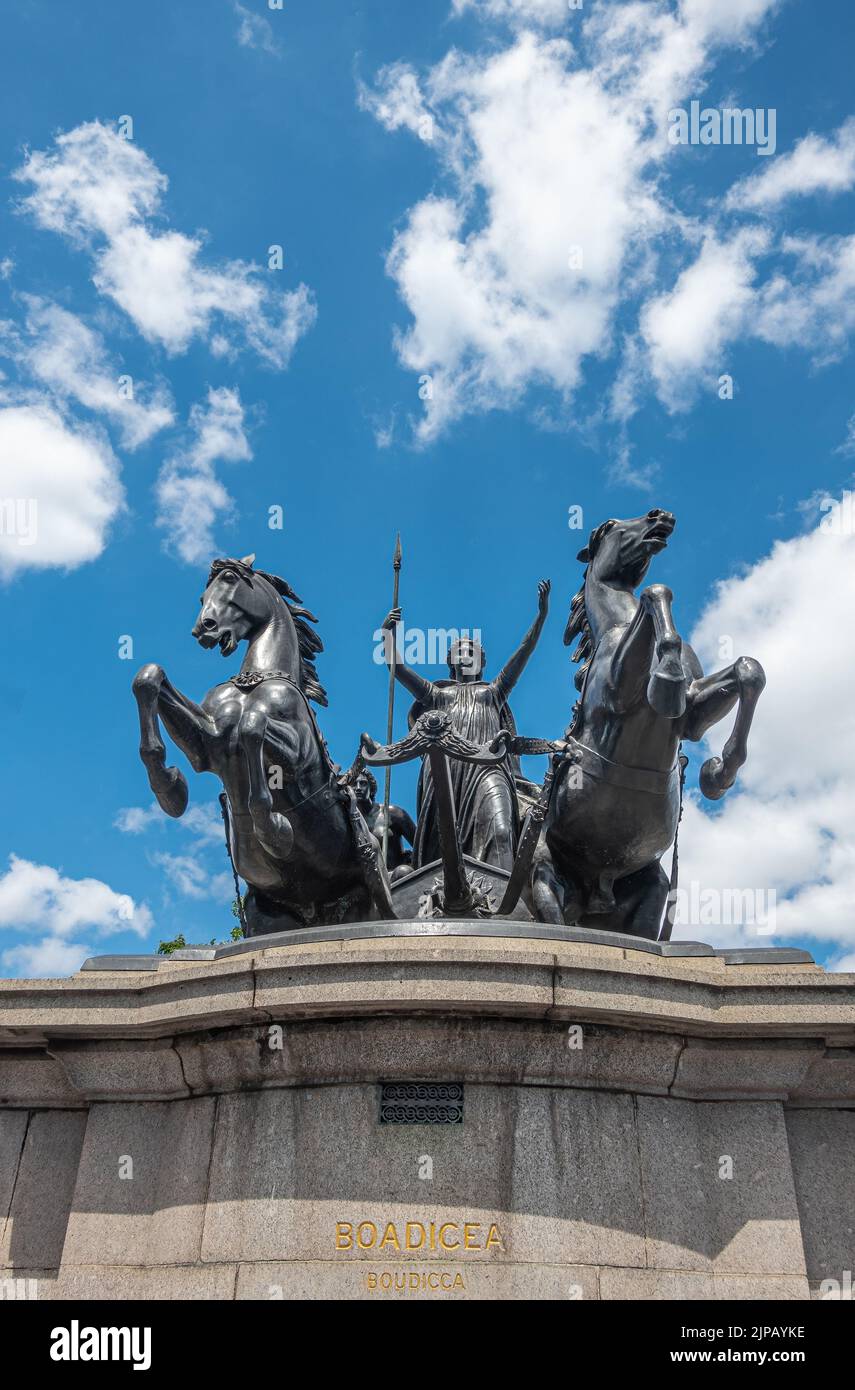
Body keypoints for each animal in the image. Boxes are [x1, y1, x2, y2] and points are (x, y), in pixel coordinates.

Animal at [131, 553, 394, 934]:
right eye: (202, 596)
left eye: (229, 580)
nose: (204, 629)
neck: (255, 680)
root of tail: (318, 912)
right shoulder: (207, 743)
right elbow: (149, 677)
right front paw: (171, 789)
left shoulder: (297, 755)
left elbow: (252, 727)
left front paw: (275, 830)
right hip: (263, 914)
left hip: (372, 899)